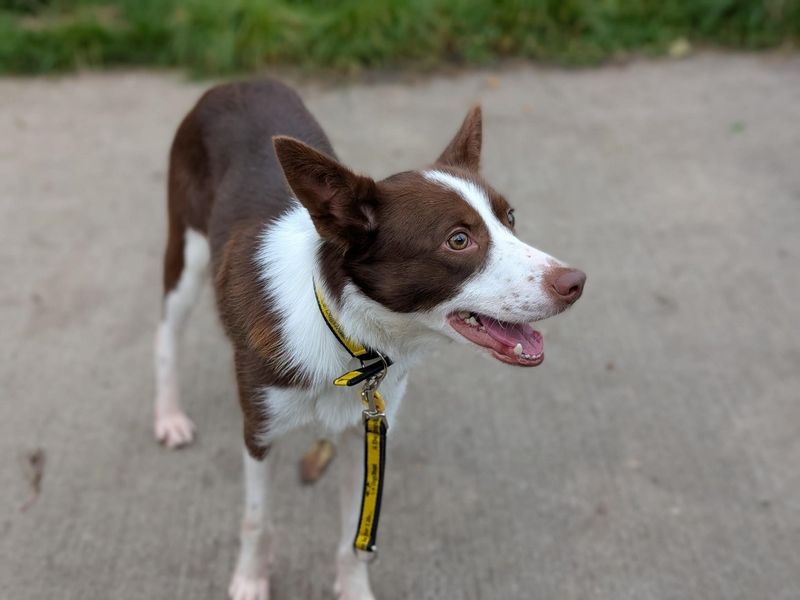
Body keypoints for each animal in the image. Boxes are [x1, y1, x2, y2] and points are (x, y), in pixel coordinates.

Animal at [153, 79, 584, 600]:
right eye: (459, 240)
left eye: (511, 217)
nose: (576, 283)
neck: (351, 339)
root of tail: (235, 82)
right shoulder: (258, 430)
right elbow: (258, 520)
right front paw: (251, 580)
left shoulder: (369, 432)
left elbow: (354, 537)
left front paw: (353, 588)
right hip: (186, 251)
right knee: (166, 336)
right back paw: (169, 416)